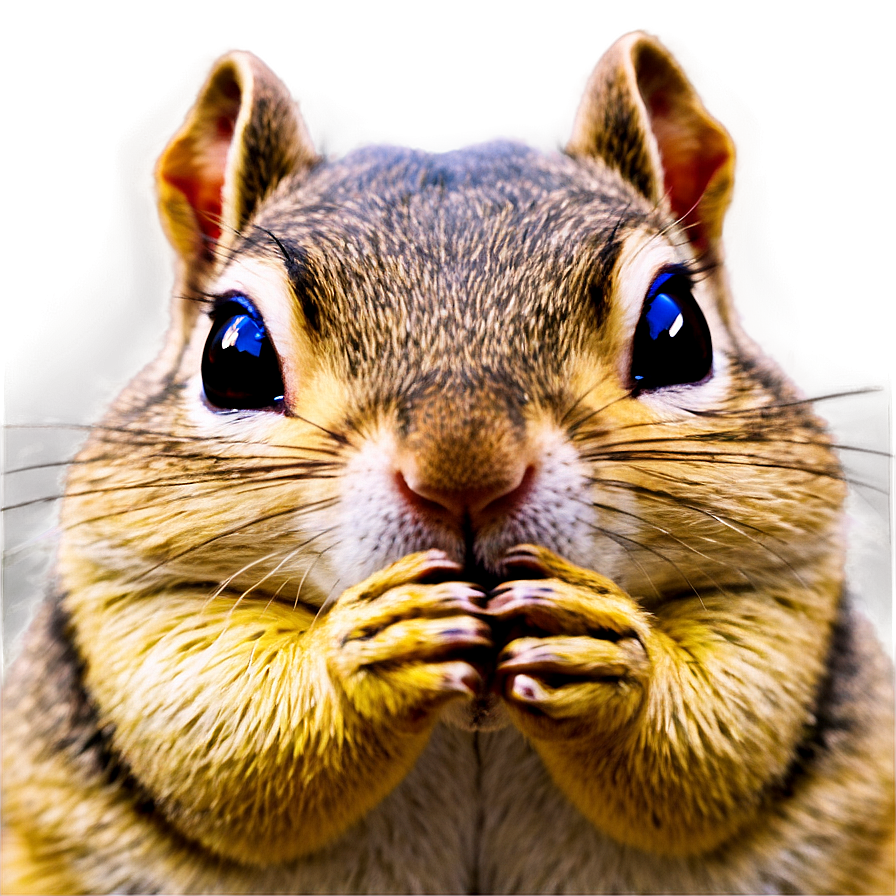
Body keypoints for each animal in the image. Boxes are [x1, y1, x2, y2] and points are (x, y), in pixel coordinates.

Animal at [2, 31, 893, 895]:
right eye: (234, 354)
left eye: (679, 331)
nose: (465, 474)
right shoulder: (131, 599)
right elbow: (214, 727)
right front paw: (370, 653)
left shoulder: (785, 586)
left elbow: (731, 725)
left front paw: (610, 652)